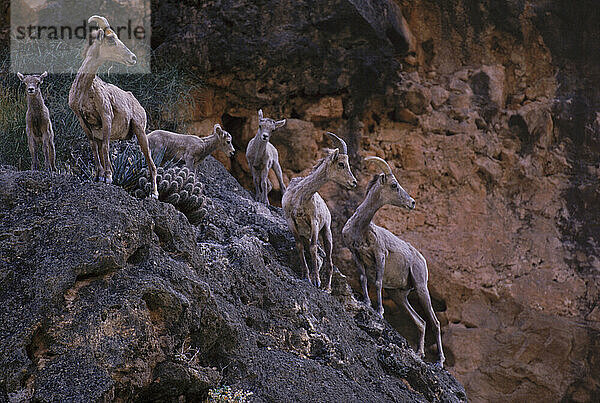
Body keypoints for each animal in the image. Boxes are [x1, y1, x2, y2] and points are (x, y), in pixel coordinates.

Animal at [282, 131, 356, 292]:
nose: (354, 182)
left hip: (327, 232)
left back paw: (327, 288)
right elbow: (300, 246)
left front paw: (316, 281)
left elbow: (313, 248)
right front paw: (306, 276)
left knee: (329, 260)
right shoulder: (291, 221)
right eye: (341, 164)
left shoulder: (314, 222)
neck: (299, 196)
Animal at [342, 158, 446, 370]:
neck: (361, 229)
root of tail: (421, 258)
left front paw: (380, 312)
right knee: (421, 322)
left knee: (435, 323)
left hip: (421, 288)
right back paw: (419, 353)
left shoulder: (380, 255)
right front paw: (367, 303)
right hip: (399, 296)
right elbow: (364, 279)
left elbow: (377, 283)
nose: (412, 202)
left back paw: (439, 362)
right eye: (394, 185)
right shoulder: (356, 255)